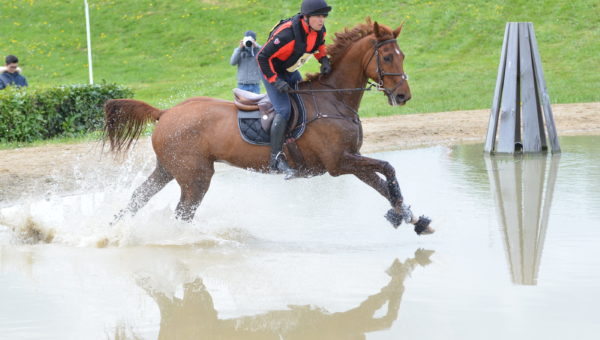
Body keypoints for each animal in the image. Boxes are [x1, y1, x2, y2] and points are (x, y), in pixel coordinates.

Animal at [103, 19, 432, 234]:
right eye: (387, 57)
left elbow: (382, 184)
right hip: (195, 177)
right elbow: (388, 169)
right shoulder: (340, 163)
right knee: (183, 213)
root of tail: (167, 112)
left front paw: (412, 218)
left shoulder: (352, 160)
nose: (403, 96)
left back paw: (111, 230)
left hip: (169, 169)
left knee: (138, 198)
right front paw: (402, 214)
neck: (334, 99)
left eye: (402, 56)